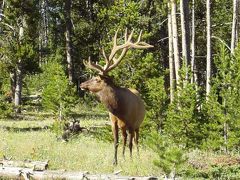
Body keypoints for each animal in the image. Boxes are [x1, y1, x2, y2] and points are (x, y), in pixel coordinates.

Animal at [79, 28, 153, 165]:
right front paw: (115, 161)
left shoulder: (131, 123)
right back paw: (123, 156)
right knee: (124, 139)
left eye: (97, 79)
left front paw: (131, 160)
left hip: (138, 125)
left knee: (135, 140)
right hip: (124, 127)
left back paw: (137, 156)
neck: (118, 109)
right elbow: (116, 142)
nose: (81, 84)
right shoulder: (113, 122)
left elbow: (130, 143)